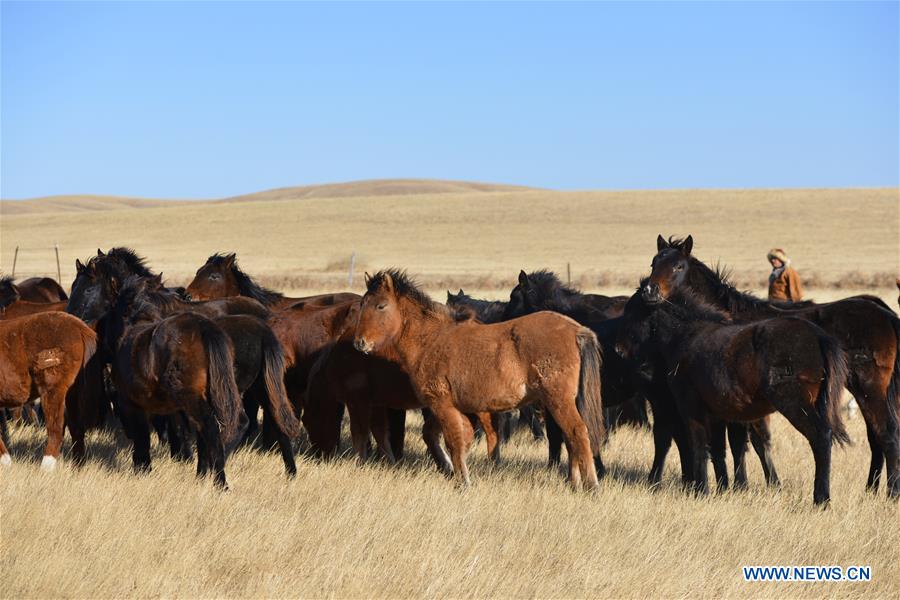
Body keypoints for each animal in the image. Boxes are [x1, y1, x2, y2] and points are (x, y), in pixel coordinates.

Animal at [0, 312, 97, 470]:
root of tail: (79, 327)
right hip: (73, 394)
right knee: (76, 428)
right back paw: (76, 468)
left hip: (52, 389)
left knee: (56, 428)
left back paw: (46, 467)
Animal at [102, 275, 247, 487]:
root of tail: (204, 328)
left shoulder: (132, 404)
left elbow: (142, 438)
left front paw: (142, 469)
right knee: (228, 426)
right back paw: (204, 475)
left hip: (193, 400)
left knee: (210, 429)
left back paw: (220, 481)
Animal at [353, 269, 606, 489]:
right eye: (362, 305)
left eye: (381, 306)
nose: (359, 343)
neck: (431, 340)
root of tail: (577, 330)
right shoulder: (452, 408)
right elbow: (445, 438)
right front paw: (451, 471)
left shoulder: (441, 404)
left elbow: (454, 440)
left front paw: (462, 482)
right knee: (570, 438)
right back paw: (574, 483)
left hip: (558, 400)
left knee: (577, 433)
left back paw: (591, 486)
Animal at [617, 288, 850, 505]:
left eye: (633, 311)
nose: (618, 350)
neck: (685, 335)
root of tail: (818, 335)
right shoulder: (719, 415)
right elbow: (720, 450)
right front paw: (724, 489)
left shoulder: (692, 410)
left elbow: (699, 447)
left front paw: (701, 491)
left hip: (795, 405)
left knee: (820, 437)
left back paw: (821, 499)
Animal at [647, 235, 900, 497]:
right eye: (654, 263)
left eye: (678, 266)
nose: (650, 291)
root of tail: (884, 314)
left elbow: (746, 443)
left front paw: (751, 484)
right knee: (876, 437)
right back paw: (871, 488)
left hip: (868, 388)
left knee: (886, 433)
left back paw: (891, 491)